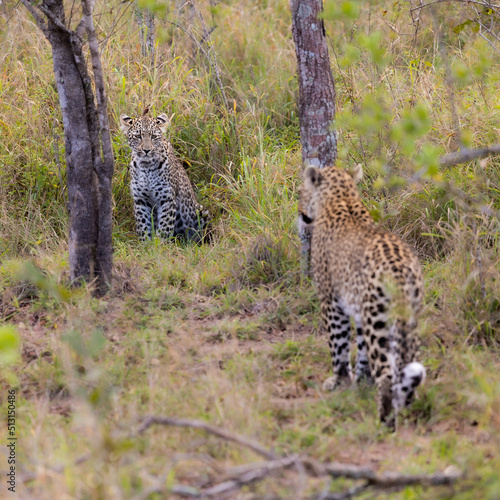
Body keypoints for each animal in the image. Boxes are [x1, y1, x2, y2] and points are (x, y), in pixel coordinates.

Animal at [120, 112, 209, 244]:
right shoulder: (140, 199)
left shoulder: (167, 199)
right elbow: (143, 225)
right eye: (138, 136)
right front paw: (146, 245)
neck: (146, 166)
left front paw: (160, 245)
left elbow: (164, 227)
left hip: (201, 211)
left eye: (153, 136)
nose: (147, 150)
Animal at [298, 164, 424, 430]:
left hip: (379, 321)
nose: (301, 213)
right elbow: (362, 351)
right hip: (407, 319)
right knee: (407, 366)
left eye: (300, 192)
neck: (342, 198)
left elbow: (338, 346)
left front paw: (338, 381)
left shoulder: (331, 302)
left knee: (387, 373)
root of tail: (401, 271)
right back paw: (408, 405)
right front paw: (360, 382)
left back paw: (385, 419)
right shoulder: (358, 310)